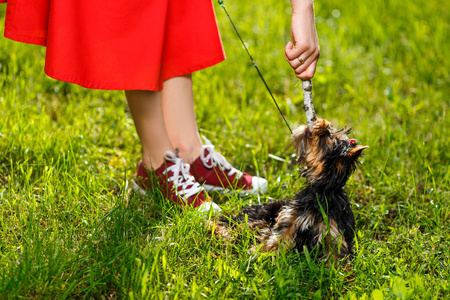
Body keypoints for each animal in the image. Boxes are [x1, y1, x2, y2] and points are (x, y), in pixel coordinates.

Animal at [213, 119, 368, 260]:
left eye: (330, 137)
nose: (323, 122)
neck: (323, 191)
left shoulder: (334, 232)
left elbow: (336, 255)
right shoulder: (290, 218)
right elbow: (277, 238)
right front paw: (261, 253)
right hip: (261, 214)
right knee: (232, 222)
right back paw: (218, 231)